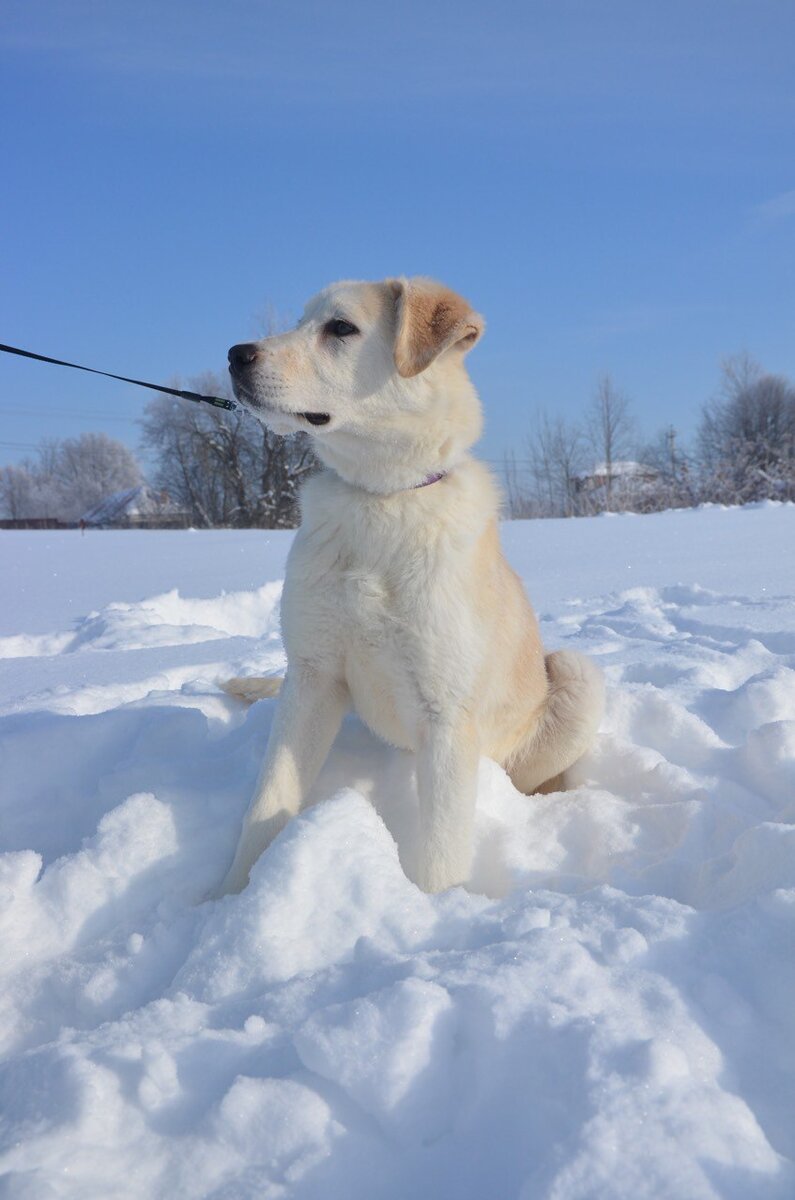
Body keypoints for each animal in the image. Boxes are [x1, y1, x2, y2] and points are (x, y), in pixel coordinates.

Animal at [218, 272, 605, 892]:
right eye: (301, 321)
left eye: (340, 327)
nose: (235, 354)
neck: (382, 500)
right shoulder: (312, 676)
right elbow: (268, 802)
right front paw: (228, 897)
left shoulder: (446, 715)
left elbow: (441, 854)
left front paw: (435, 908)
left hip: (576, 675)